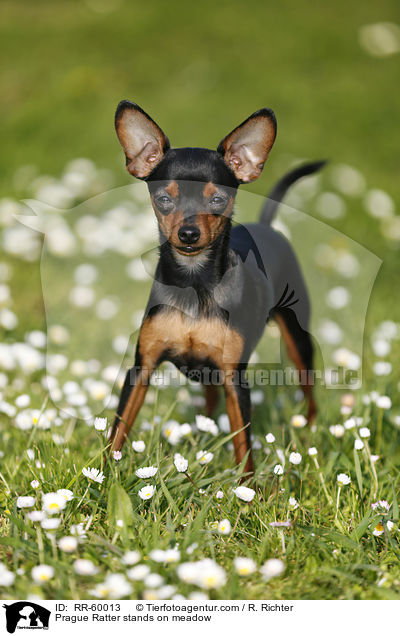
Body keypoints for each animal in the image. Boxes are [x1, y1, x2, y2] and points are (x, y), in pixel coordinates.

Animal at [109, 100, 322, 476]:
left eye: (218, 200)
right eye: (164, 199)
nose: (188, 233)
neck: (194, 282)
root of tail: (266, 227)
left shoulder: (234, 378)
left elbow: (243, 444)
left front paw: (247, 487)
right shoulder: (141, 368)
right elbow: (119, 427)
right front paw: (103, 472)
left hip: (297, 338)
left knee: (308, 387)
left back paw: (309, 428)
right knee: (208, 399)